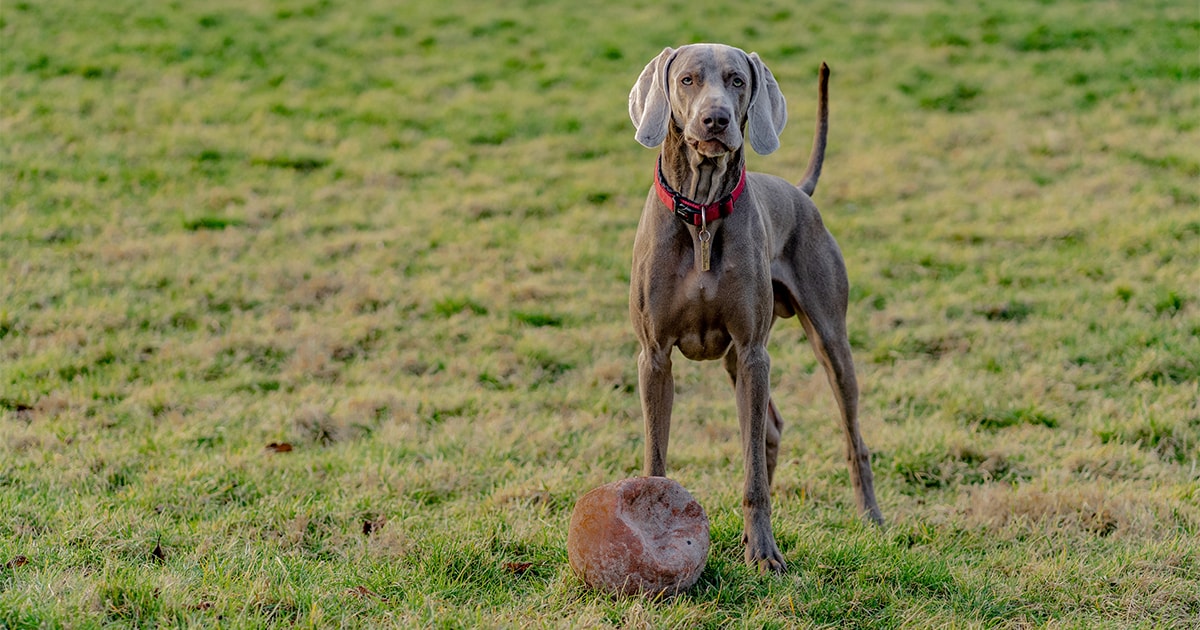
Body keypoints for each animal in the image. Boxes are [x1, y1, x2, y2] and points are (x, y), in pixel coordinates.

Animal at [628, 44, 883, 571]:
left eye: (737, 80)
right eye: (686, 80)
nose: (716, 119)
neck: (702, 214)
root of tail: (799, 191)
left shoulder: (752, 351)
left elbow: (752, 474)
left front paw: (765, 553)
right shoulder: (654, 357)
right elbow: (657, 456)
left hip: (827, 340)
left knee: (850, 437)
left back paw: (870, 517)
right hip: (731, 360)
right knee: (771, 430)